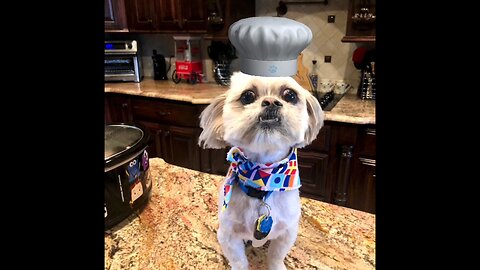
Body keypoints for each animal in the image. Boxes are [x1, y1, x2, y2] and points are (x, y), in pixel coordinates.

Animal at [197, 71, 324, 270]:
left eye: (290, 95)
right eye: (247, 96)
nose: (271, 102)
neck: (262, 180)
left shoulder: (287, 231)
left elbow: (276, 255)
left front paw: (277, 266)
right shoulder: (228, 235)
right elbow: (239, 260)